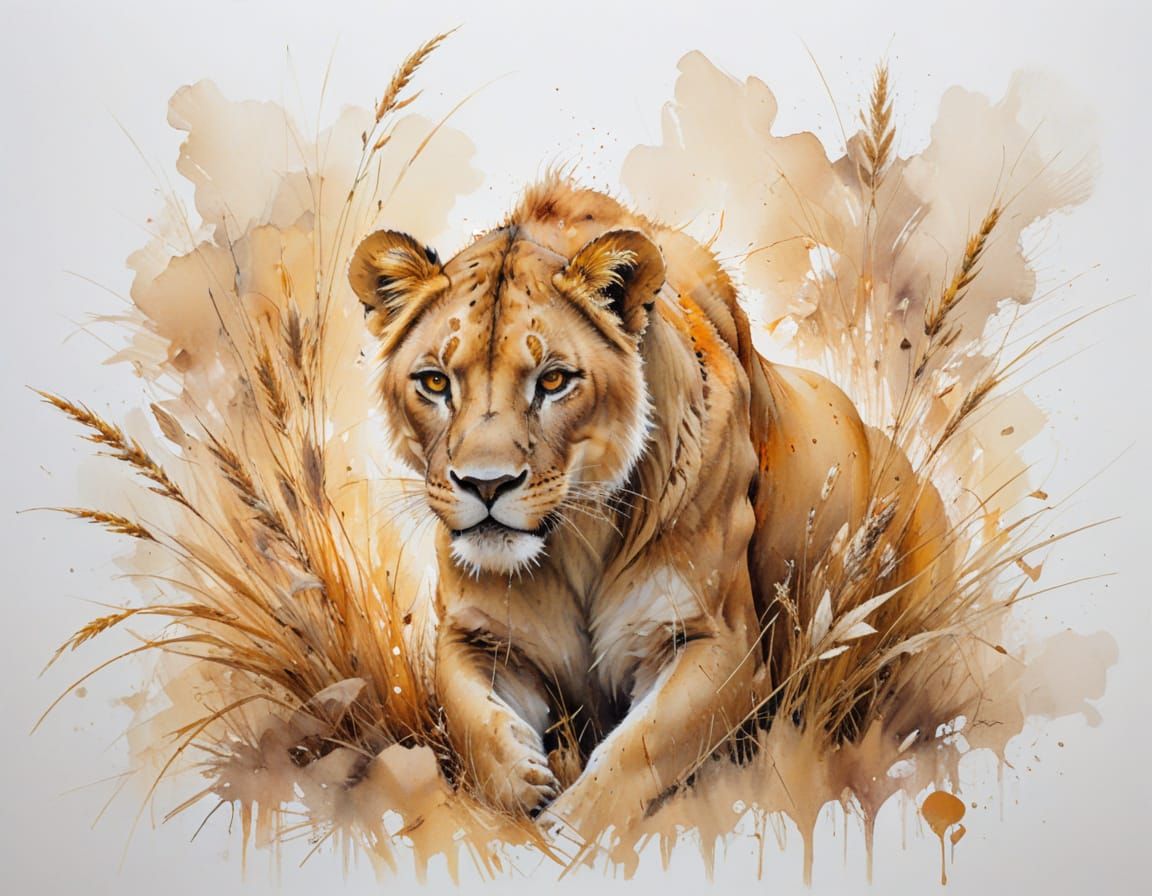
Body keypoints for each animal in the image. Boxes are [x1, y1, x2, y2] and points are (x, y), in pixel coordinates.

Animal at [348, 177, 950, 829]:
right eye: (435, 382)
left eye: (553, 380)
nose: (486, 485)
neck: (575, 540)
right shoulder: (474, 635)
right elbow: (473, 721)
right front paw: (522, 786)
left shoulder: (720, 644)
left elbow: (634, 752)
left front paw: (565, 829)